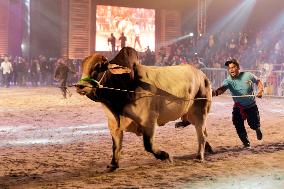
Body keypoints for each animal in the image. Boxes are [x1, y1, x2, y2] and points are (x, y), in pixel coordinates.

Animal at [75, 47, 213, 171]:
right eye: (83, 66)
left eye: (98, 67)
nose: (79, 86)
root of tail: (202, 75)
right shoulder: (114, 125)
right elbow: (116, 146)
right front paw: (113, 165)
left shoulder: (149, 121)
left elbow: (148, 145)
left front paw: (166, 156)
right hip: (191, 113)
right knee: (201, 130)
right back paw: (206, 147)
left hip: (200, 111)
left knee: (201, 134)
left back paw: (199, 156)